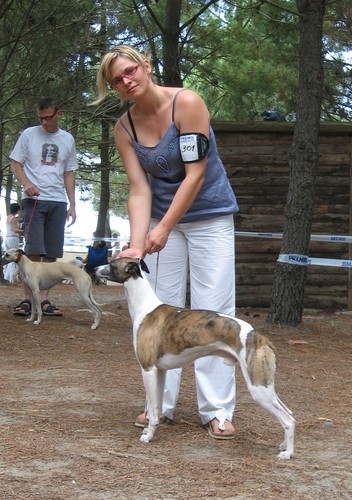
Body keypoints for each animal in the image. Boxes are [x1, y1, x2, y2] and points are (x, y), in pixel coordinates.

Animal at [95, 260, 294, 458]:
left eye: (112, 264)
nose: (93, 268)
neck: (145, 309)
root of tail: (262, 338)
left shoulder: (148, 370)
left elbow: (151, 409)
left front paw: (148, 436)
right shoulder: (160, 371)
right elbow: (157, 408)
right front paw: (151, 428)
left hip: (258, 388)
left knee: (289, 420)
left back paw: (288, 453)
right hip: (265, 386)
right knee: (288, 412)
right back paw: (284, 445)